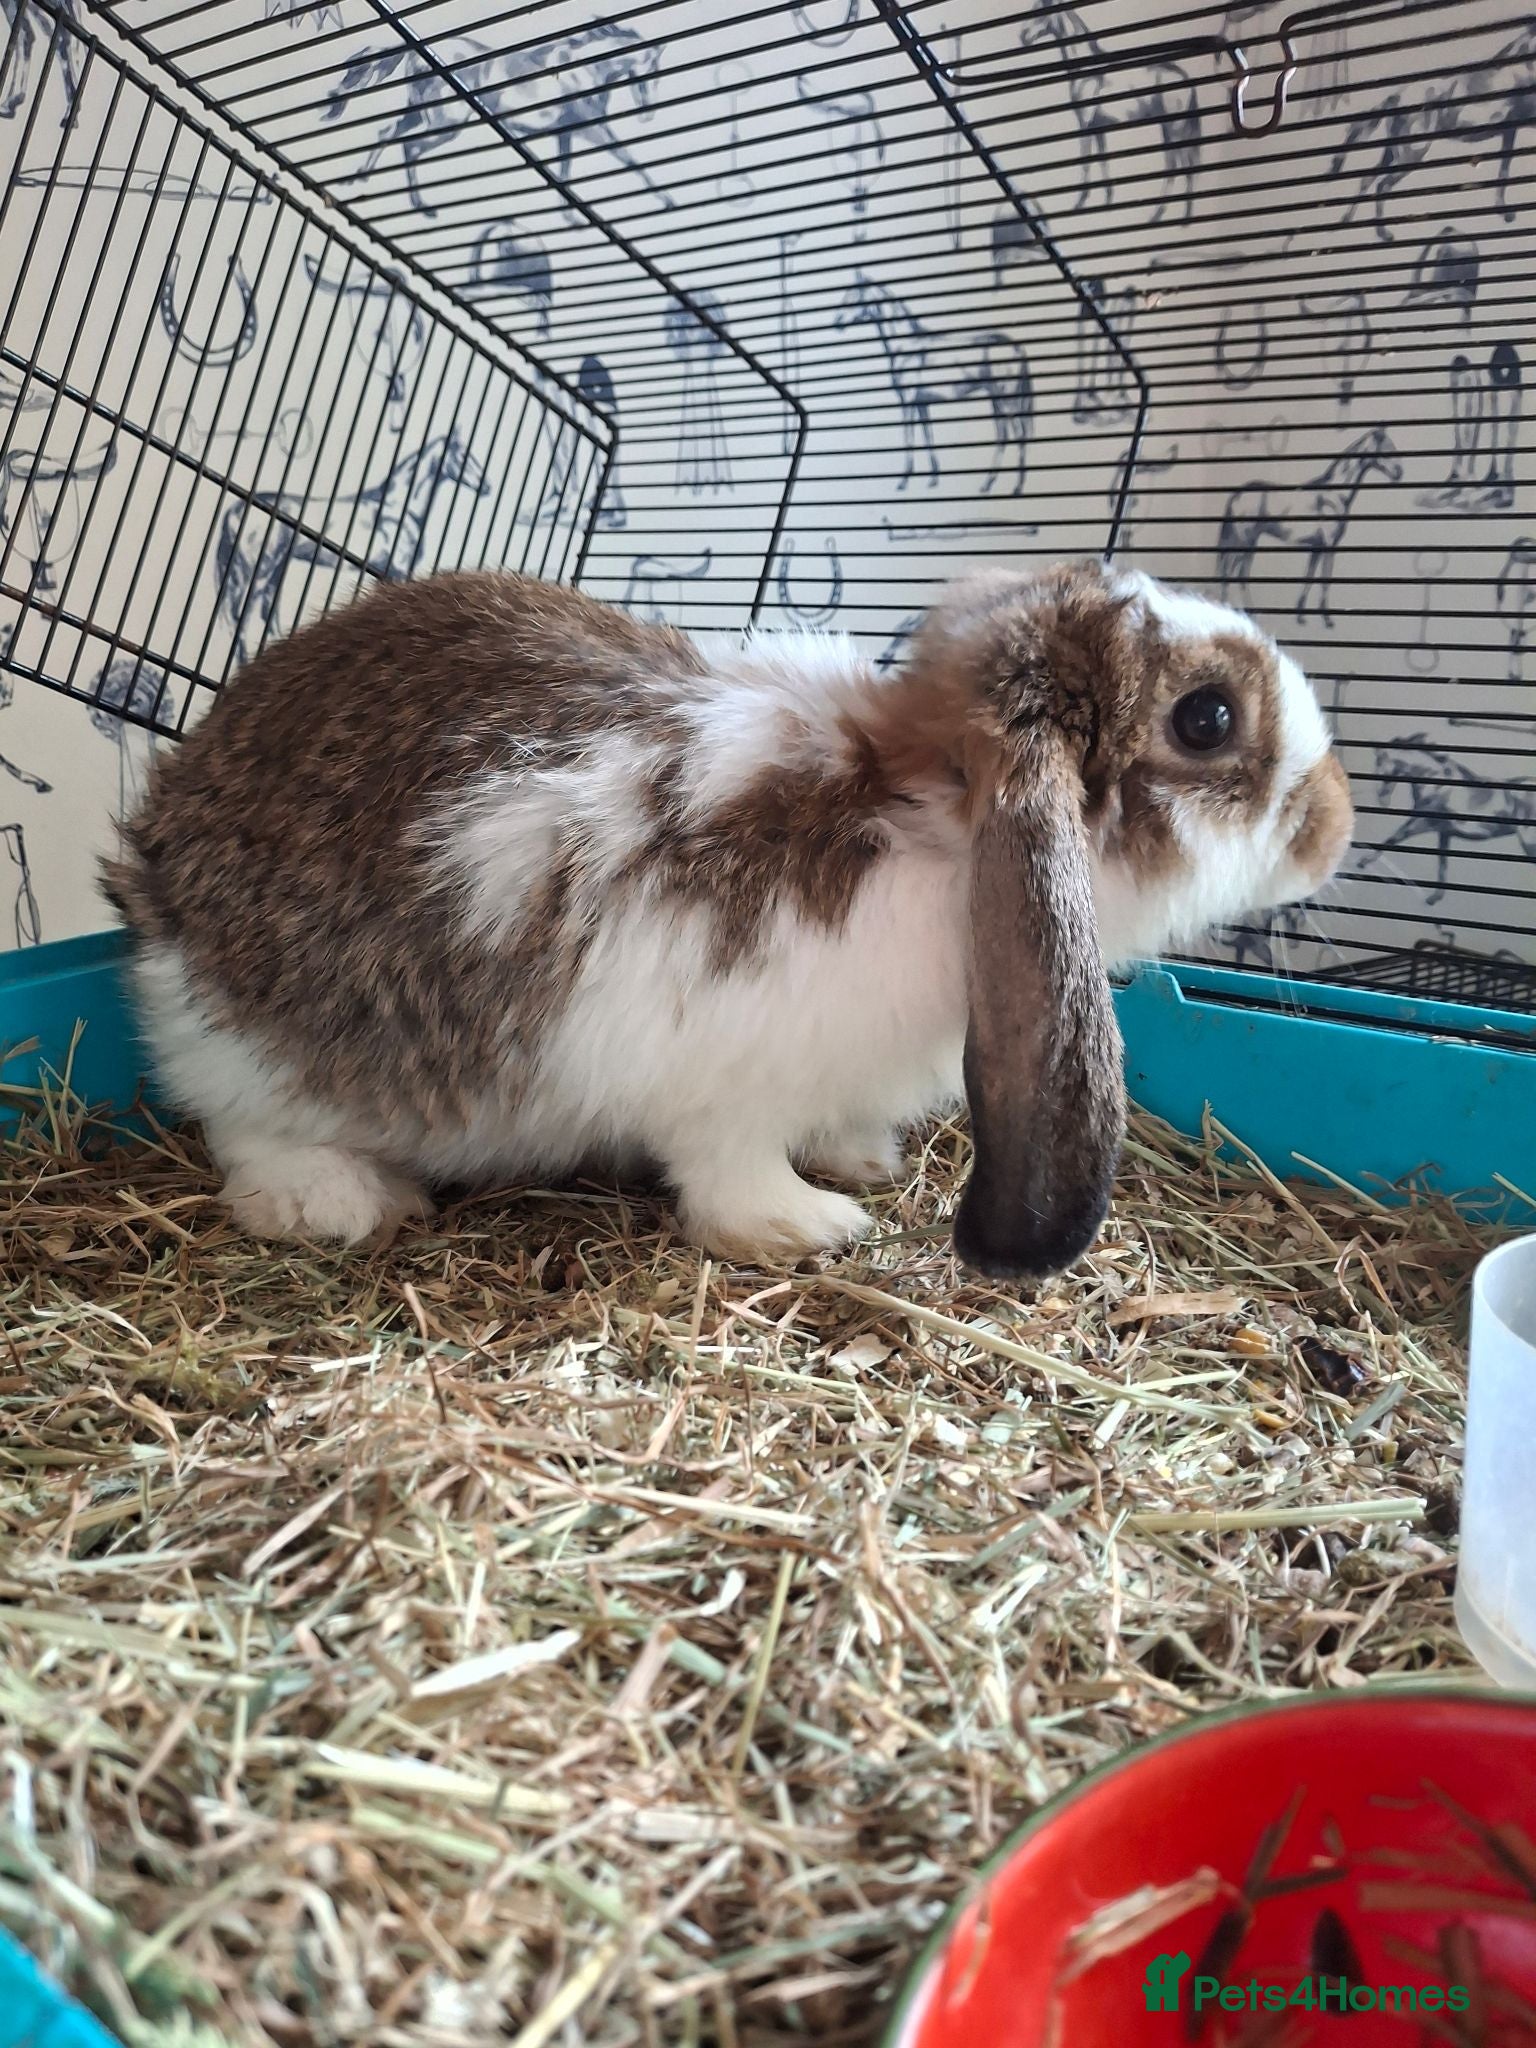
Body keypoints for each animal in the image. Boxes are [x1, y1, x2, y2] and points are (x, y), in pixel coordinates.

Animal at [101, 559, 1352, 1278]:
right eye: (1206, 717)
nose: (1337, 825)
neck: (941, 823)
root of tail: (153, 865)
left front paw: (859, 1160)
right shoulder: (720, 1079)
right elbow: (730, 1172)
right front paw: (810, 1226)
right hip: (261, 1057)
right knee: (241, 1127)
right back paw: (339, 1200)